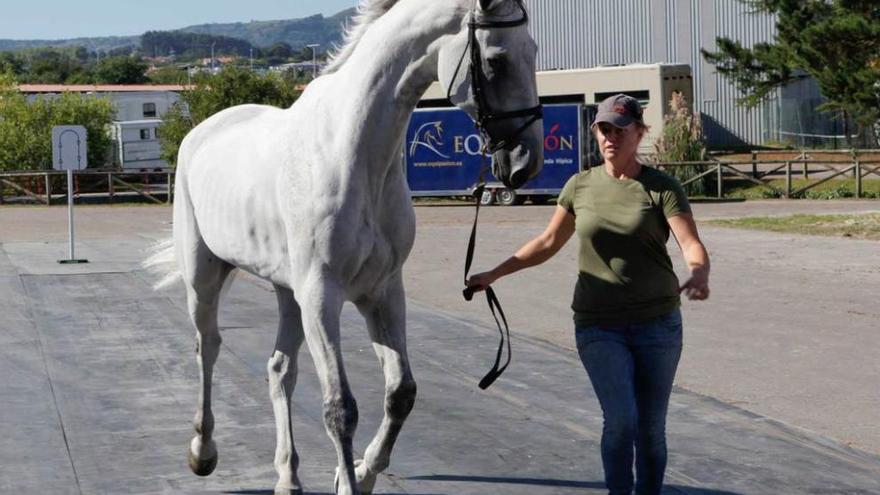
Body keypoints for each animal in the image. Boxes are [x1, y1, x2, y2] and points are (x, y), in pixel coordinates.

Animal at [148, 1, 540, 494]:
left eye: (534, 51)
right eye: (496, 61)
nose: (526, 162)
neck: (351, 154)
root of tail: (199, 133)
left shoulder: (382, 292)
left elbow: (401, 392)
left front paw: (361, 472)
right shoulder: (323, 295)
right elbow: (340, 409)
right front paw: (349, 476)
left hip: (287, 291)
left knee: (280, 370)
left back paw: (288, 476)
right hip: (204, 278)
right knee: (208, 348)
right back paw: (203, 452)